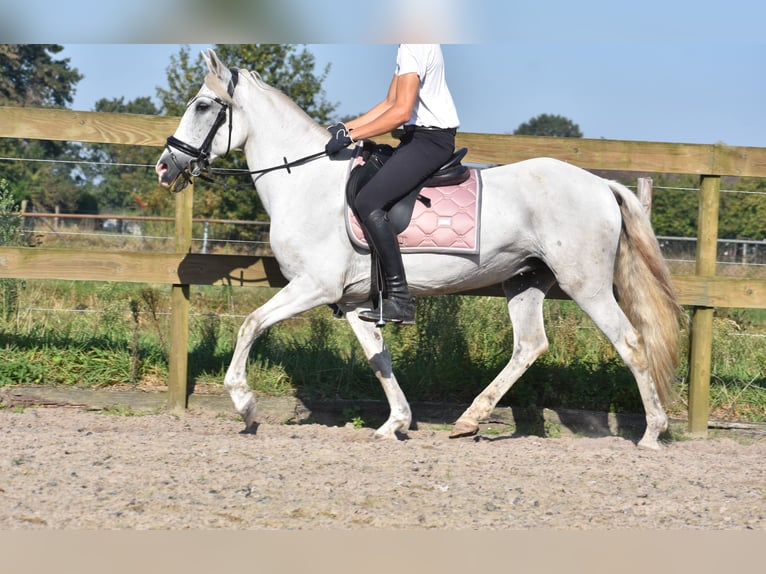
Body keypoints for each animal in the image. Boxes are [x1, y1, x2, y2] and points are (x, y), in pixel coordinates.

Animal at [153, 49, 680, 452]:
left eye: (204, 106)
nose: (164, 166)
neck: (305, 181)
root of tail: (600, 184)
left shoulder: (313, 286)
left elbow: (250, 324)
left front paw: (244, 404)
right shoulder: (353, 302)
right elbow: (379, 359)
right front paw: (396, 423)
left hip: (586, 284)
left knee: (630, 342)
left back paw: (652, 433)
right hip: (525, 279)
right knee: (530, 345)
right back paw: (469, 420)